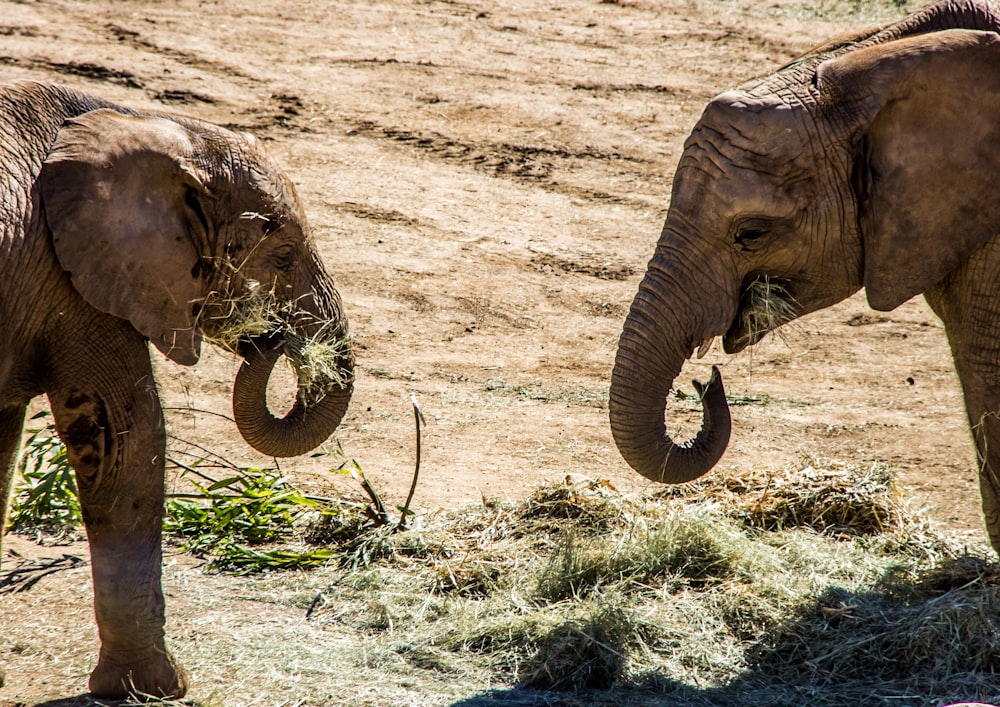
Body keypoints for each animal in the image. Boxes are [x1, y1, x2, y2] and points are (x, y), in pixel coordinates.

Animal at [0, 80, 356, 700]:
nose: (270, 337)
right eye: (283, 256)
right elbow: (126, 436)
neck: (133, 120)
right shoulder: (69, 282)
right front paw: (154, 688)